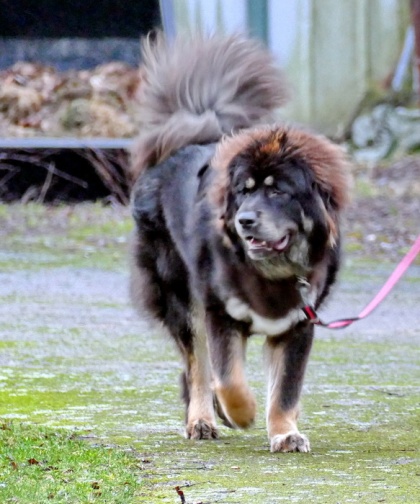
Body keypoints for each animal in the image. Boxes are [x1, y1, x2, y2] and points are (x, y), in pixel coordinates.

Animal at [129, 34, 352, 452]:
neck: (271, 274)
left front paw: (285, 432)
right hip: (181, 296)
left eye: (278, 191)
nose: (244, 220)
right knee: (197, 368)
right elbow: (228, 378)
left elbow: (286, 388)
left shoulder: (298, 324)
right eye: (243, 191)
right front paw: (242, 411)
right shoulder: (220, 314)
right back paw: (202, 419)